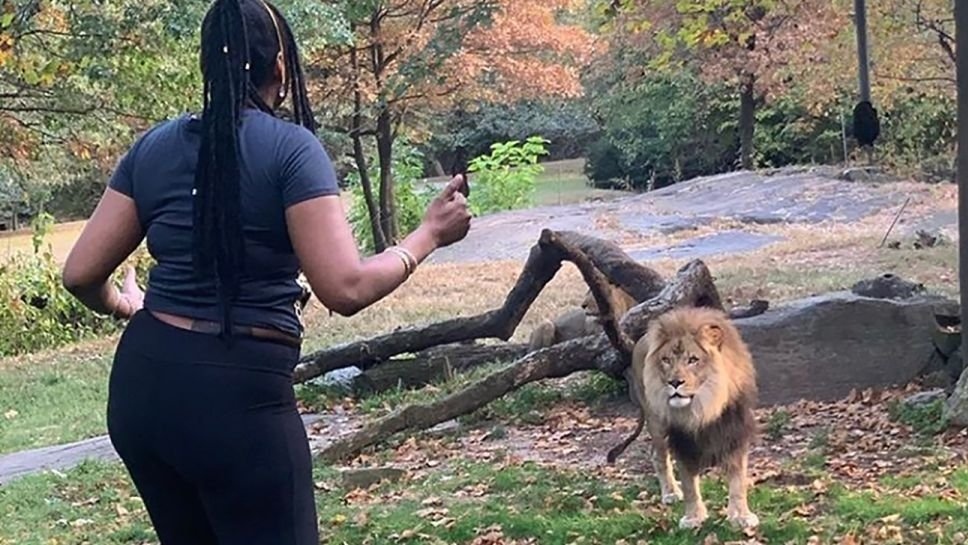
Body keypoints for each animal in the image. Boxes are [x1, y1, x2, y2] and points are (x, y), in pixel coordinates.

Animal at [608, 308, 760, 528]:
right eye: (666, 360)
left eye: (693, 359)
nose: (674, 382)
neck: (703, 407)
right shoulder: (681, 441)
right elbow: (689, 485)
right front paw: (693, 518)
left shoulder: (735, 433)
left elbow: (738, 481)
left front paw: (741, 516)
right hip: (656, 422)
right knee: (658, 455)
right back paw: (670, 493)